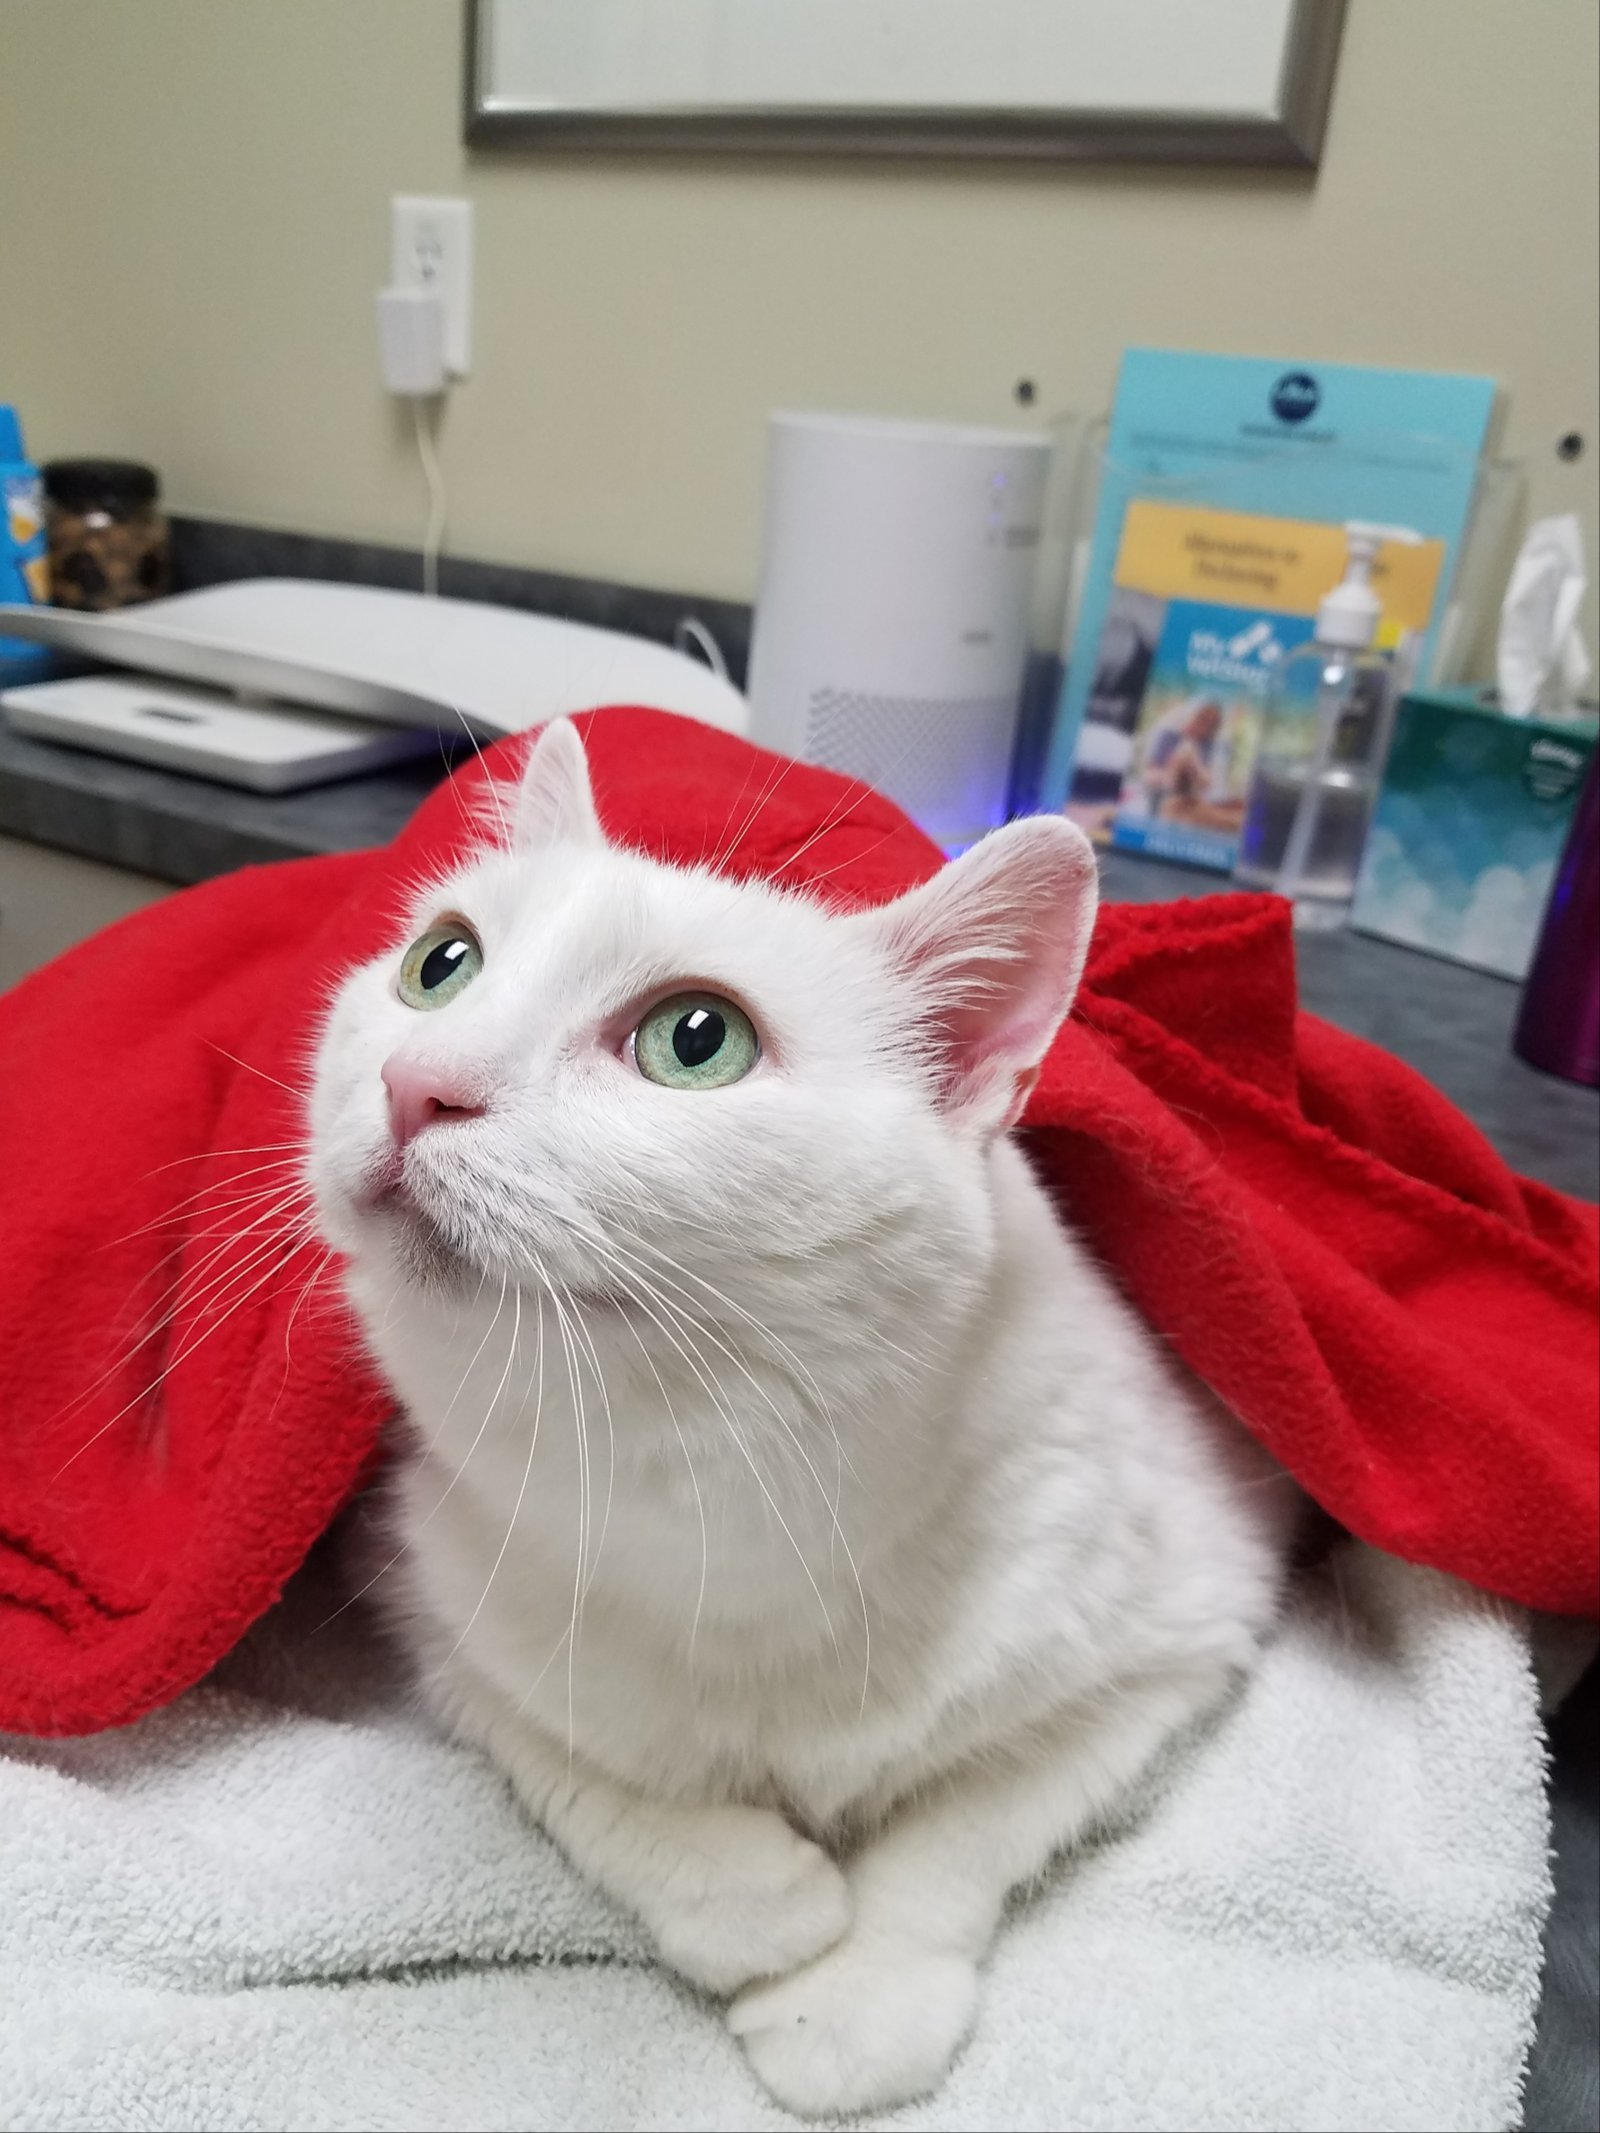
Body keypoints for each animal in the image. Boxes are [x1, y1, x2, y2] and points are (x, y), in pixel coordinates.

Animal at [307, 718, 1293, 2118]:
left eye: (696, 1039)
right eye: (440, 964)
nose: (413, 1080)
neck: (714, 1499)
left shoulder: (1183, 1633)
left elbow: (971, 1821)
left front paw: (857, 1997)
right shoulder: (414, 1583)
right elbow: (560, 1754)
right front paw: (751, 1899)